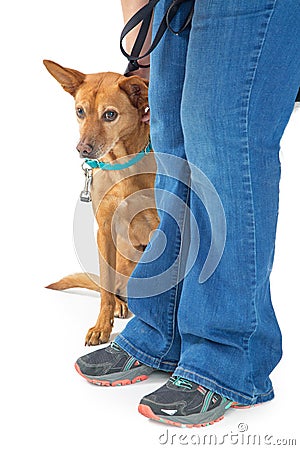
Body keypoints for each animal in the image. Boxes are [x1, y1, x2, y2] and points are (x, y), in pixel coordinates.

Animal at [43, 60, 159, 344]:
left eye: (110, 115)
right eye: (80, 111)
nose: (82, 149)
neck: (121, 166)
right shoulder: (105, 231)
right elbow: (105, 289)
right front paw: (101, 327)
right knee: (114, 287)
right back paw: (120, 304)